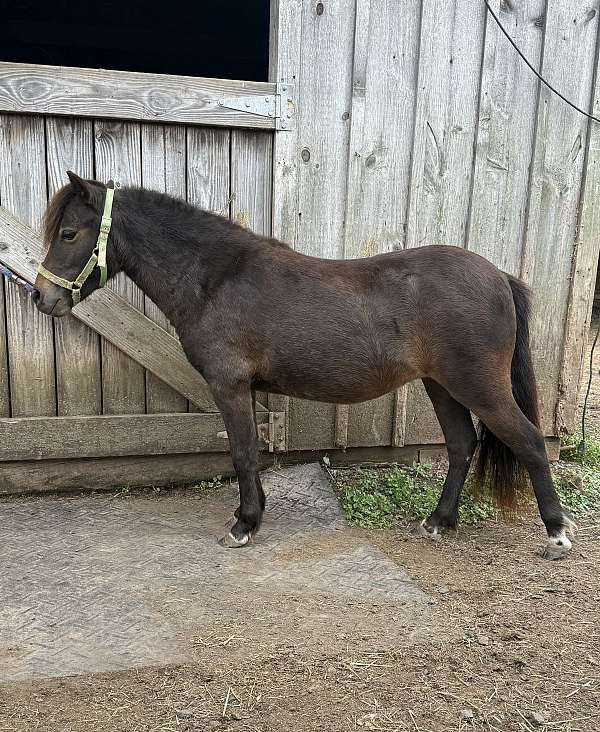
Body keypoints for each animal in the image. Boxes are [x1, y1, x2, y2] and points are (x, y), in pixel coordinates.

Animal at [34, 172, 575, 559]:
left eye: (68, 232)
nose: (40, 297)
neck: (217, 277)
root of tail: (499, 276)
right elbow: (249, 454)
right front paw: (253, 514)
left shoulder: (229, 386)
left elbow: (242, 454)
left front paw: (243, 526)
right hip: (441, 385)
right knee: (462, 447)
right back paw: (437, 522)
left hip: (478, 386)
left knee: (529, 443)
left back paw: (556, 534)